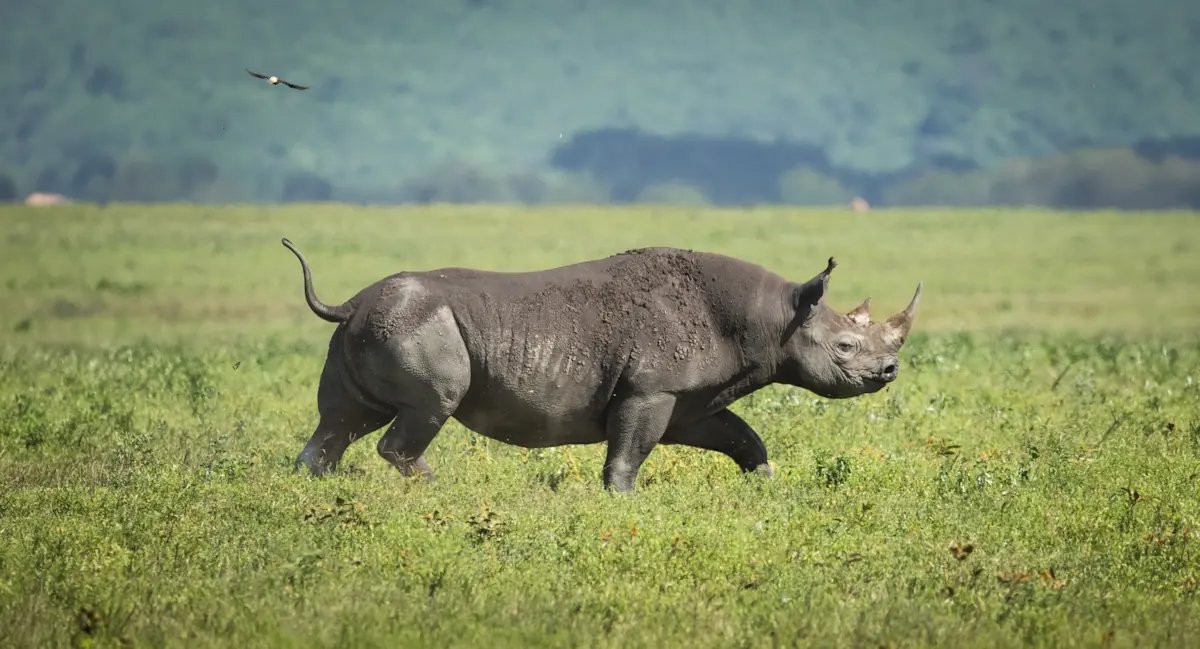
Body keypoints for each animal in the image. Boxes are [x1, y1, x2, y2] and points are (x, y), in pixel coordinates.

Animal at [281, 238, 922, 492]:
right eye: (846, 348)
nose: (889, 373)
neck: (773, 317)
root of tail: (349, 302)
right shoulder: (651, 389)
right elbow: (629, 451)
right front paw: (623, 499)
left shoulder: (691, 401)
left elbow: (742, 435)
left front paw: (765, 483)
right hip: (416, 324)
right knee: (427, 407)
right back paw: (434, 486)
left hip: (372, 326)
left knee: (342, 420)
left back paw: (312, 483)